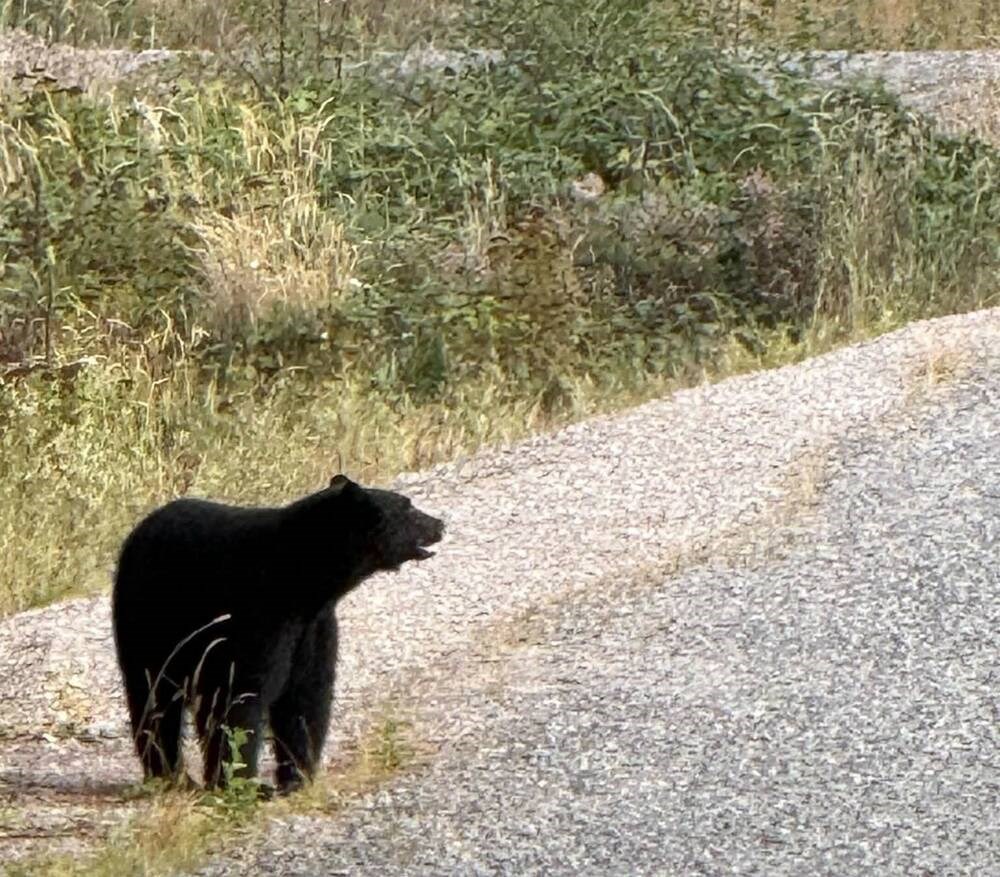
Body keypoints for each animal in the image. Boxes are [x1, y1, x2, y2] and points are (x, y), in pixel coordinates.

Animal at [111, 473, 444, 795]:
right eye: (408, 507)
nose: (440, 524)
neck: (303, 579)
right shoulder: (262, 615)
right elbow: (244, 694)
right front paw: (242, 782)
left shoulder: (313, 628)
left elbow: (306, 695)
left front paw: (298, 775)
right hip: (151, 620)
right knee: (155, 695)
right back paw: (169, 773)